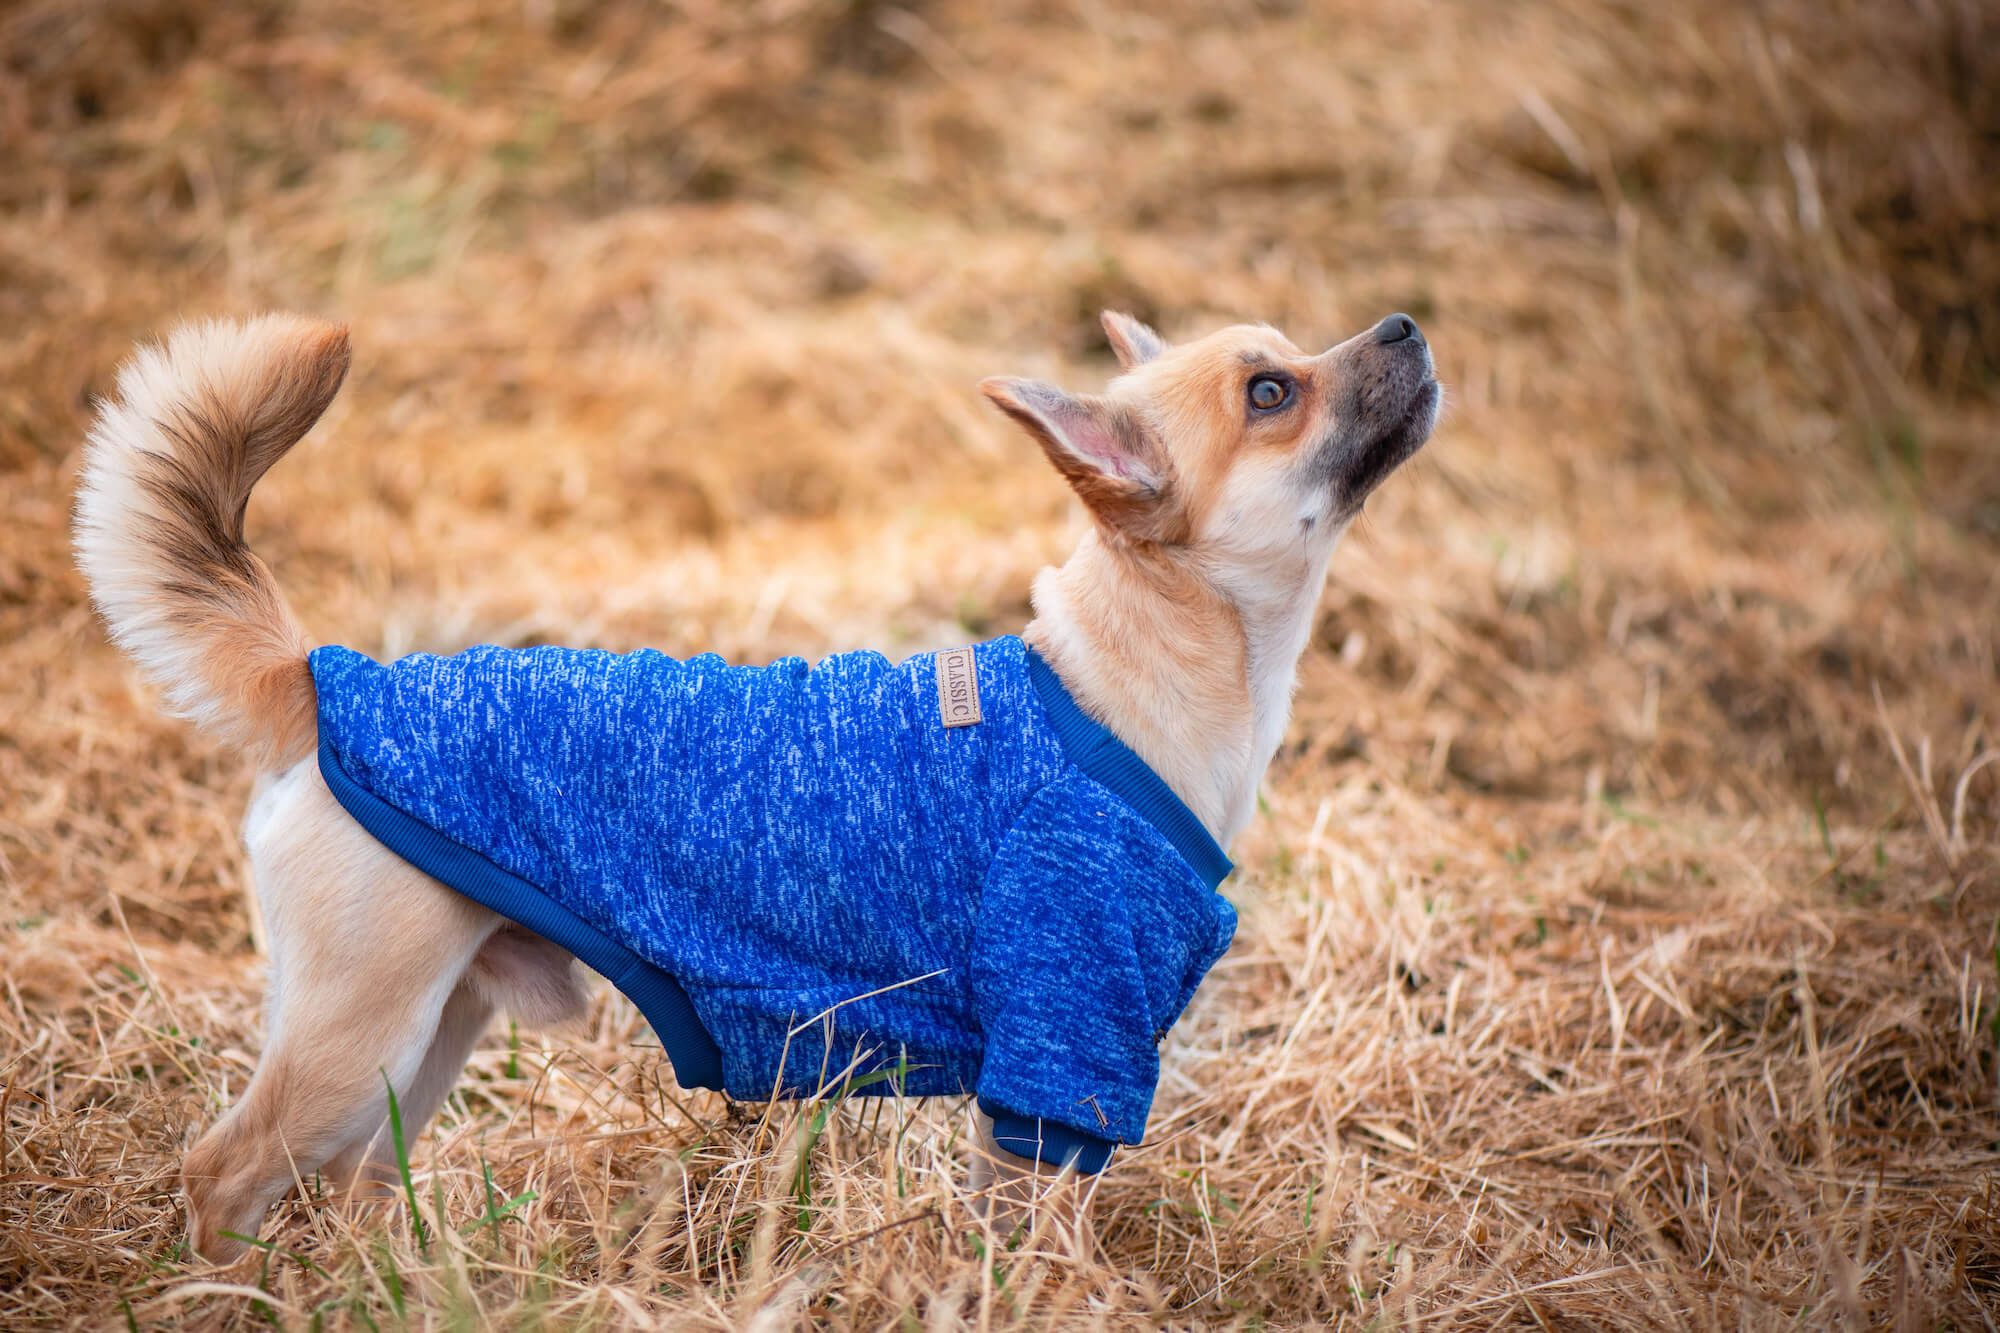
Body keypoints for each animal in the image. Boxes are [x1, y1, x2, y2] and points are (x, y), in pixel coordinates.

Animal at [70, 304, 1432, 1256]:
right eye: (1270, 392)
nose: (1406, 324)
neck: (1125, 687)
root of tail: (324, 676)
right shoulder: (1056, 1067)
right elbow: (1037, 1249)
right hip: (356, 1041)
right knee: (222, 1175)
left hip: (423, 1042)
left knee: (342, 1188)